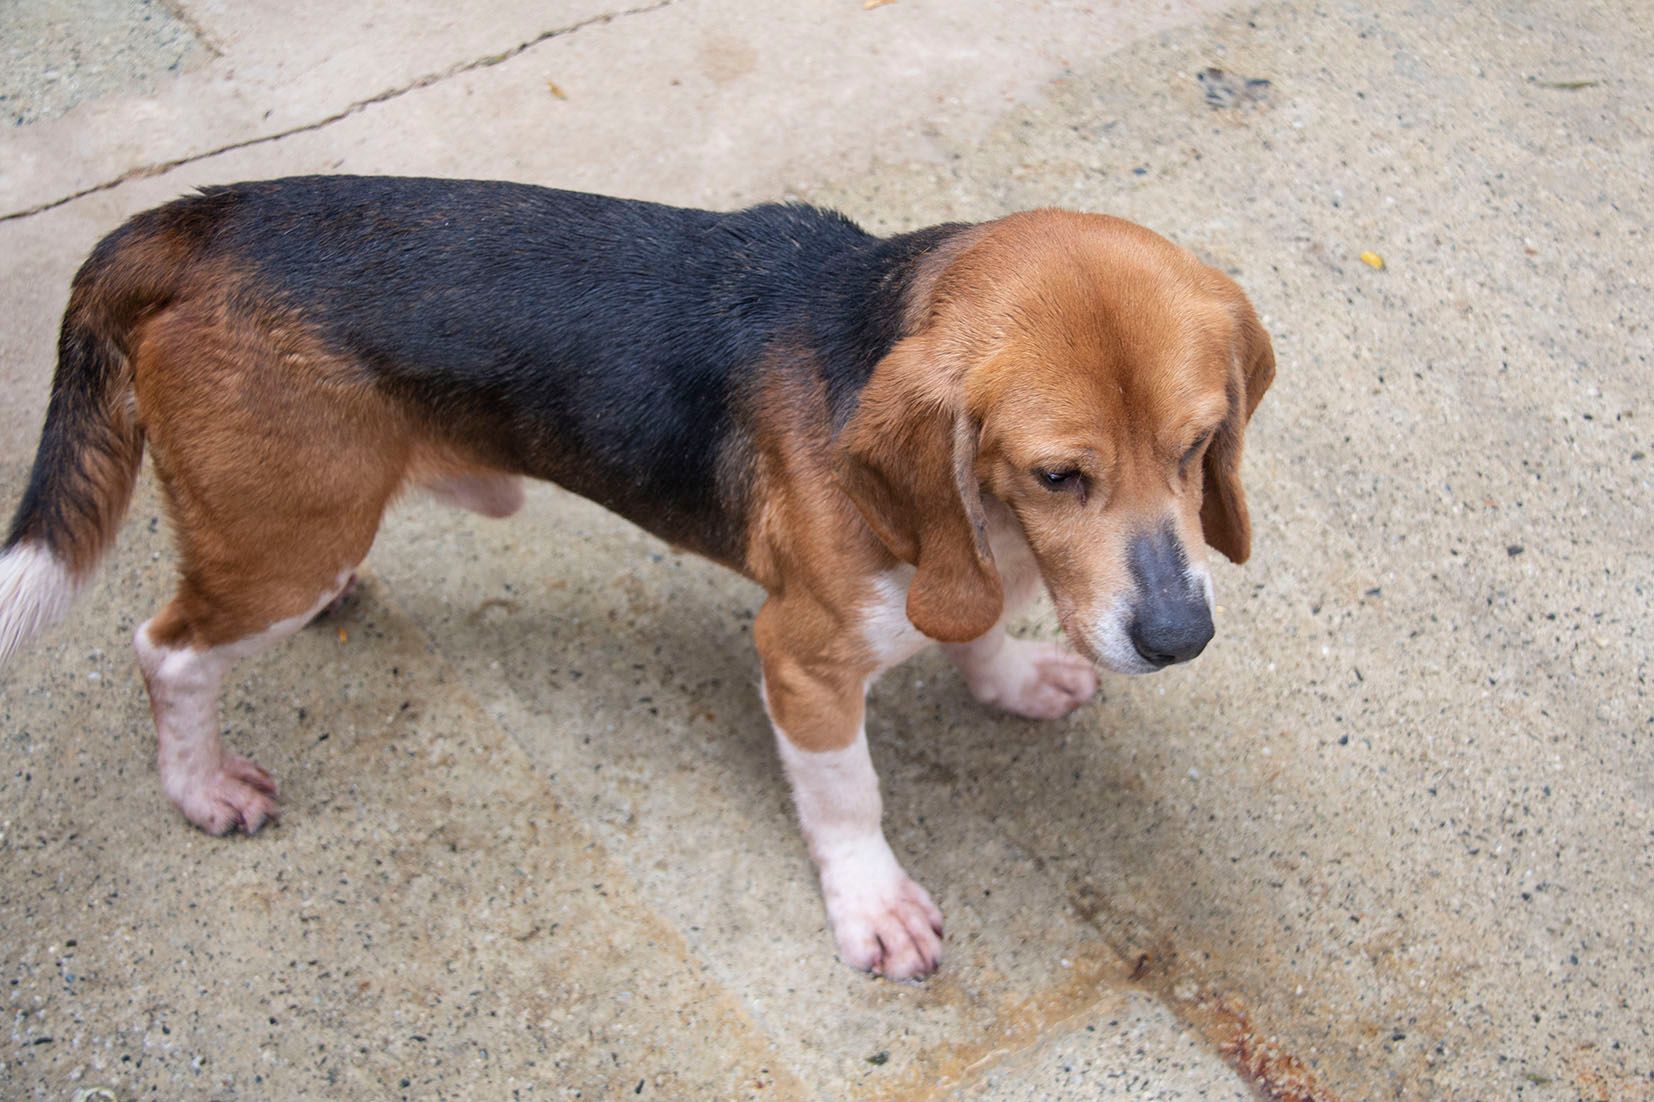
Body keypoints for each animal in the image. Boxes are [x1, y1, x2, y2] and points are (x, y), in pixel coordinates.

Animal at [0, 176, 1273, 980]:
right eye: (1058, 475)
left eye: (1201, 443)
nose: (1178, 638)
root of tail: (192, 220)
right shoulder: (801, 660)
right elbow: (850, 798)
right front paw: (874, 907)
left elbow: (973, 624)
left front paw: (1006, 675)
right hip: (282, 549)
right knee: (166, 650)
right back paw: (199, 785)